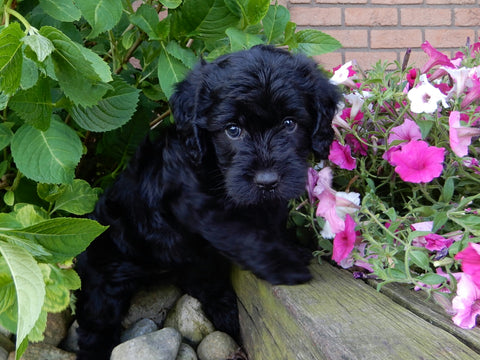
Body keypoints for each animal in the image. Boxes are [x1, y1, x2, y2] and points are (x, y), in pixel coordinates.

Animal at [76, 44, 338, 358]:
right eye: (233, 130)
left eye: (289, 124)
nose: (267, 181)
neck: (212, 166)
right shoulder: (202, 208)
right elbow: (245, 235)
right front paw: (285, 264)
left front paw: (290, 246)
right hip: (108, 269)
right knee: (97, 315)